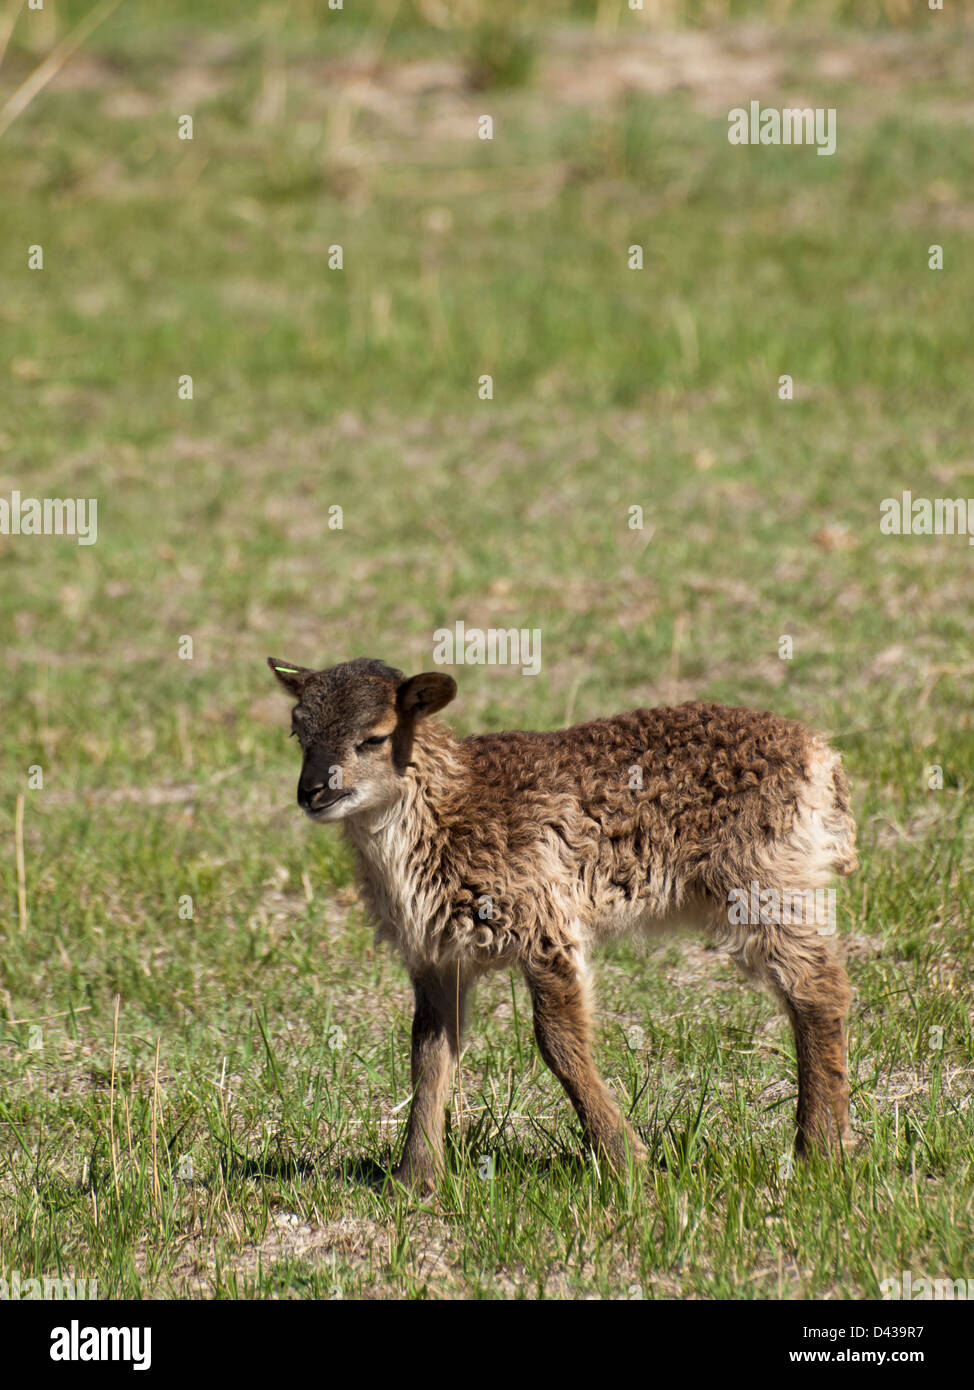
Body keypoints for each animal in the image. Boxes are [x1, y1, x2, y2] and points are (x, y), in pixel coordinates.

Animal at [269, 656, 855, 1189]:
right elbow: (429, 1055)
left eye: (375, 738)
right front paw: (413, 1179)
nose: (312, 792)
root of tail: (820, 755)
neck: (444, 813)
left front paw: (625, 1160)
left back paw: (818, 1151)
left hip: (764, 881)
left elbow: (558, 1043)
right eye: (299, 733)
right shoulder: (437, 957)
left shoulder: (543, 923)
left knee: (817, 988)